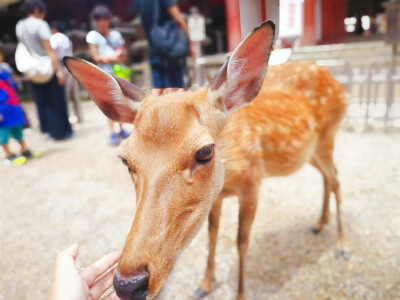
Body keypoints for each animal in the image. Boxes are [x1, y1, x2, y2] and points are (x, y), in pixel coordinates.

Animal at [65, 21, 346, 300]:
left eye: (205, 152)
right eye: (125, 160)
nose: (129, 284)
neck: (229, 175)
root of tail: (338, 83)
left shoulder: (252, 183)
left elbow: (241, 242)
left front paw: (240, 294)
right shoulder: (215, 197)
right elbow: (212, 234)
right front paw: (205, 284)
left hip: (328, 136)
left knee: (335, 178)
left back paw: (341, 245)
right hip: (311, 152)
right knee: (326, 176)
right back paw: (319, 224)